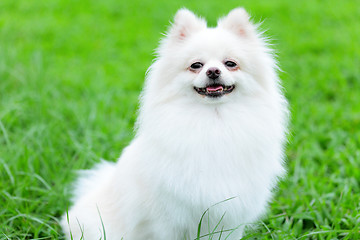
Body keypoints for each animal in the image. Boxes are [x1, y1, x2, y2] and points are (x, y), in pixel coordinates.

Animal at [60, 7, 288, 240]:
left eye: (230, 64)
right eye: (196, 65)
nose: (213, 71)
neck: (214, 120)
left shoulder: (231, 217)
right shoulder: (169, 218)